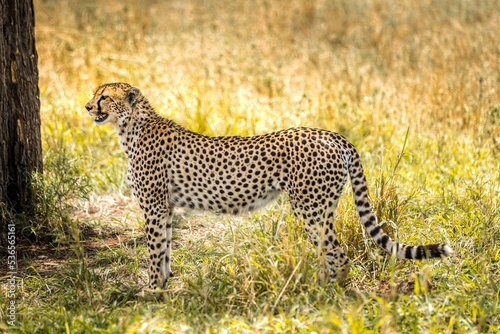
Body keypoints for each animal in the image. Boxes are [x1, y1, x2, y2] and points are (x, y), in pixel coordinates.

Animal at [86, 82, 454, 290]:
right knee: (332, 252)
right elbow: (164, 250)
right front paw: (163, 287)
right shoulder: (166, 207)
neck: (131, 127)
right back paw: (320, 287)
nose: (87, 106)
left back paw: (328, 294)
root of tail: (330, 134)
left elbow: (154, 250)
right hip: (320, 208)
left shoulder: (153, 206)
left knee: (338, 253)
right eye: (94, 95)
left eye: (104, 97)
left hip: (311, 208)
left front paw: (151, 292)